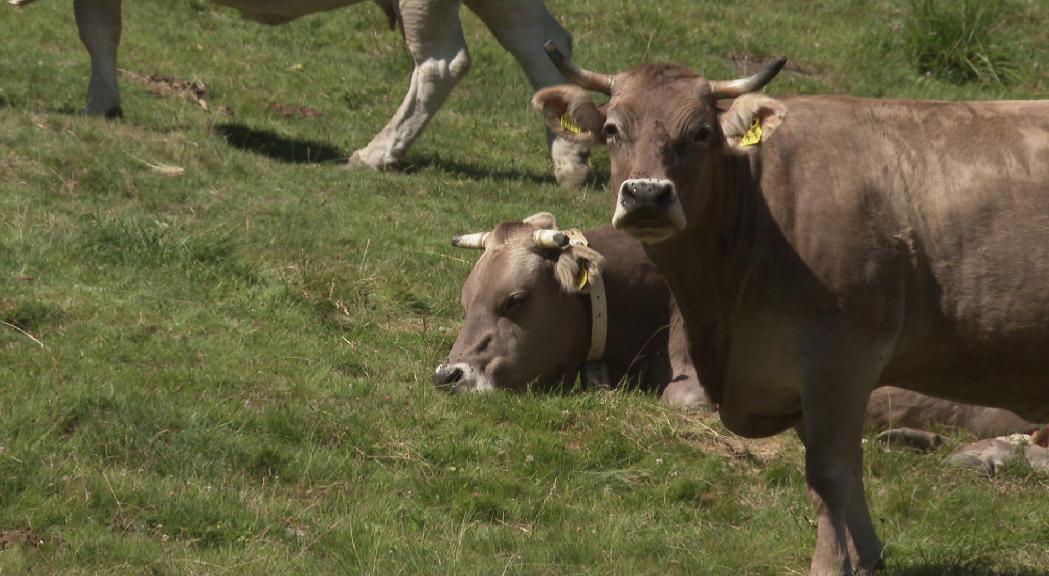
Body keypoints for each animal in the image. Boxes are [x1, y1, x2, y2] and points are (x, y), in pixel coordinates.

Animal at [10, 0, 591, 185]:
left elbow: (95, 29)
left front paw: (95, 106)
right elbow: (99, 29)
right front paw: (102, 105)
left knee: (441, 63)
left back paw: (377, 153)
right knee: (540, 44)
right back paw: (569, 162)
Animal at [532, 42, 1049, 570]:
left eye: (701, 132)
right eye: (612, 129)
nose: (647, 194)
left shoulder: (839, 361)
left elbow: (829, 475)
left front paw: (829, 564)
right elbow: (848, 471)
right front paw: (865, 555)